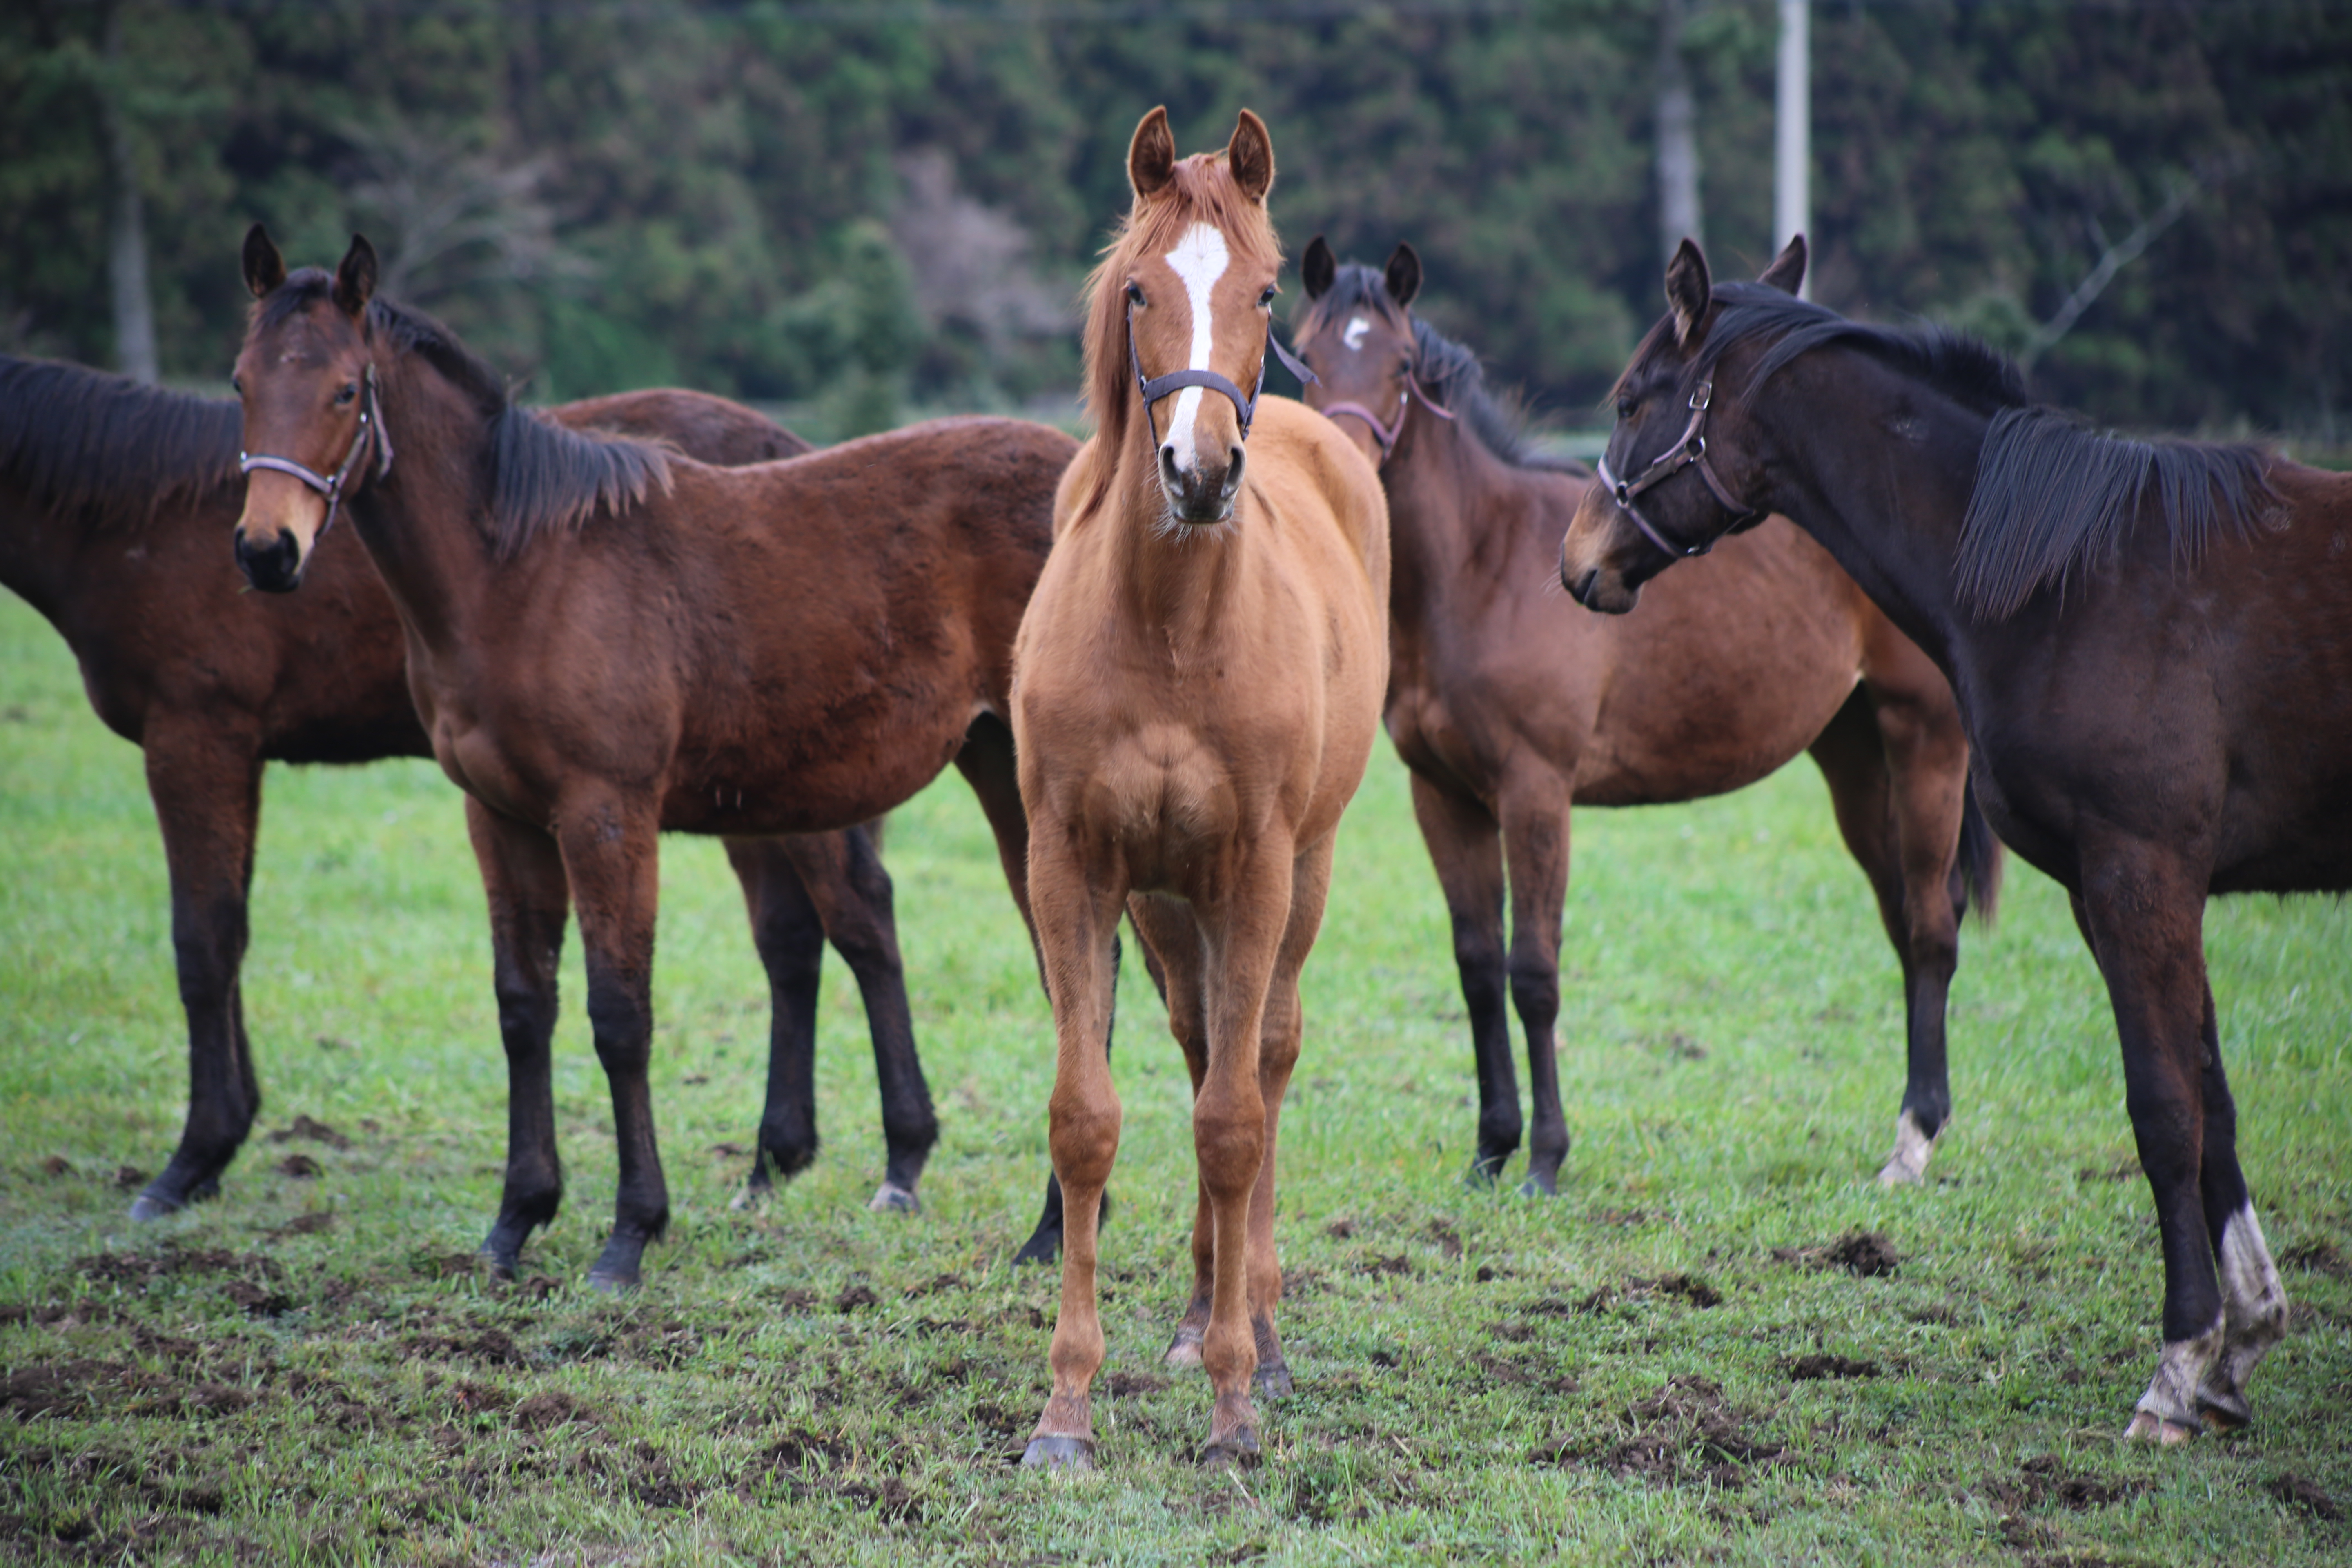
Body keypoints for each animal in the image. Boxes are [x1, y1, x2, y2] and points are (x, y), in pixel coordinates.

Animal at [4, 350, 955, 1222]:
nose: (266, 555)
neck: (139, 517)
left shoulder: (196, 735)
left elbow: (202, 944)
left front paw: (192, 1160)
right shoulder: (235, 752)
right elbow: (229, 936)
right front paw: (226, 1135)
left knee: (856, 914)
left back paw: (883, 1159)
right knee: (792, 937)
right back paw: (772, 1161)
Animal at [222, 223, 1082, 1288]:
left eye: (345, 390)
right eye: (240, 381)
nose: (267, 551)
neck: (523, 572)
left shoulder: (606, 812)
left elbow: (619, 1013)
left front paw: (628, 1235)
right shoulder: (499, 816)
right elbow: (523, 1006)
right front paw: (514, 1222)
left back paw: (1048, 1231)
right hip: (990, 767)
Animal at [1016, 110, 1383, 1476]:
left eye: (1267, 291)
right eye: (1139, 289)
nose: (1203, 471)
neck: (1170, 628)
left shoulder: (1258, 868)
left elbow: (1234, 1123)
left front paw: (1233, 1407)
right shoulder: (1074, 867)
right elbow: (1089, 1119)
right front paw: (1065, 1410)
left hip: (1295, 879)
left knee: (1260, 1062)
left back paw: (1257, 1332)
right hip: (1170, 906)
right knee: (1195, 1050)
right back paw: (1191, 1312)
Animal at [1289, 240, 2004, 1189]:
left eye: (1401, 365)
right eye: (1304, 357)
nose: (1346, 468)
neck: (1480, 568)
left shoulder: (1536, 792)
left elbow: (1534, 971)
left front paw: (1545, 1160)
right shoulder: (1441, 796)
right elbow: (1477, 967)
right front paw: (1490, 1150)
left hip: (1924, 739)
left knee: (1929, 923)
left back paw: (1915, 1137)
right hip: (1853, 758)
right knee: (1902, 914)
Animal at [1561, 236, 2333, 1448]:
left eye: (1633, 398)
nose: (1575, 560)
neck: (2076, 574)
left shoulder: (2138, 875)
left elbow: (2164, 1109)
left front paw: (2176, 1367)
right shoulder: (2145, 889)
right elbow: (2211, 1096)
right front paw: (2242, 1341)